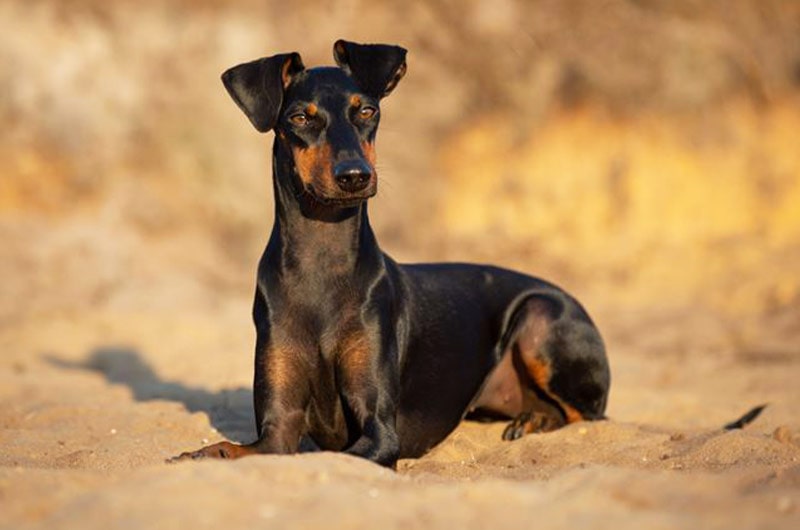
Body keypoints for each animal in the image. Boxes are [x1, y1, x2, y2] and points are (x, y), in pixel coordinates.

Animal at [172, 39, 608, 464]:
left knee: (588, 416)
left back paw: (536, 420)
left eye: (367, 110)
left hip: (540, 316)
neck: (321, 257)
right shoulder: (278, 429)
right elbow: (231, 450)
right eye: (300, 118)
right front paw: (197, 454)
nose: (354, 176)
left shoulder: (380, 430)